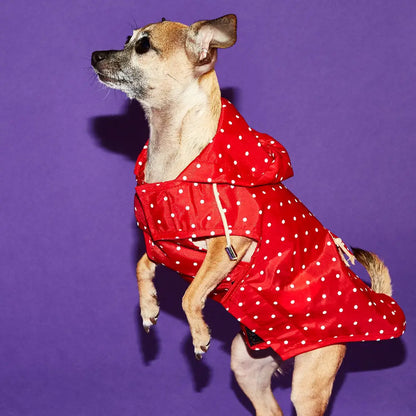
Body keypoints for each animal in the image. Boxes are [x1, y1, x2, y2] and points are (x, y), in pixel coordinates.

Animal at [92, 13, 406, 416]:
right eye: (126, 39)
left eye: (144, 46)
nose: (95, 55)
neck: (173, 157)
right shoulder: (164, 242)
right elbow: (142, 265)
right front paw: (148, 308)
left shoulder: (227, 248)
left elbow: (190, 295)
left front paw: (199, 335)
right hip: (246, 367)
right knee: (269, 409)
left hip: (309, 385)